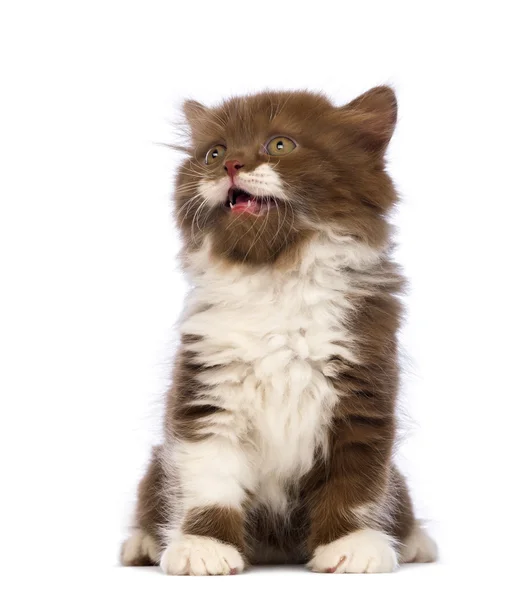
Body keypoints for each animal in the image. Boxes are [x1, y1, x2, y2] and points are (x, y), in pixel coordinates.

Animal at [122, 86, 438, 576]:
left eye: (280, 145)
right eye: (214, 153)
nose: (232, 165)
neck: (275, 275)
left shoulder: (362, 392)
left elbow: (356, 481)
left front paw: (351, 544)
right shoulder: (207, 389)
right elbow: (208, 476)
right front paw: (203, 545)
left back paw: (414, 542)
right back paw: (142, 543)